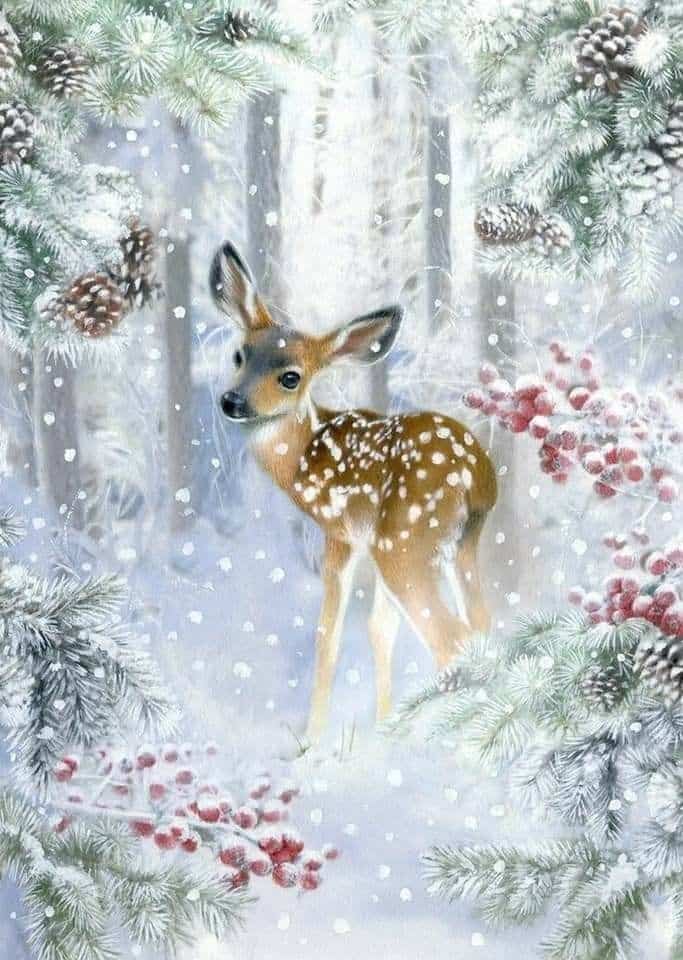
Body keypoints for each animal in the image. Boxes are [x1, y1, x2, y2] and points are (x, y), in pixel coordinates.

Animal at [211, 242, 497, 742]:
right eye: (239, 355)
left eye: (291, 376)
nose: (233, 401)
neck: (304, 457)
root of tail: (477, 474)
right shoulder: (368, 539)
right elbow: (381, 630)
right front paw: (383, 725)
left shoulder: (341, 532)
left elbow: (329, 635)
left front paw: (313, 741)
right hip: (456, 546)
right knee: (485, 631)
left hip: (405, 540)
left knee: (454, 641)